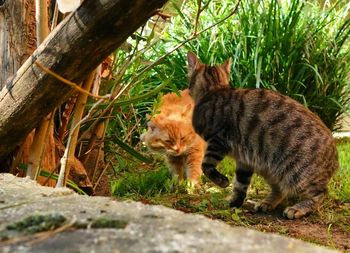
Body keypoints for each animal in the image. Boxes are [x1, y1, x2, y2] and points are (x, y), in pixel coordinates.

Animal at [187, 52, 338, 219]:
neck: (215, 89)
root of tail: (335, 158)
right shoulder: (244, 161)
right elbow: (240, 185)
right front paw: (234, 203)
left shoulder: (218, 141)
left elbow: (206, 166)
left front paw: (222, 182)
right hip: (271, 170)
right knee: (281, 189)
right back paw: (267, 203)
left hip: (299, 172)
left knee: (320, 193)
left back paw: (298, 208)